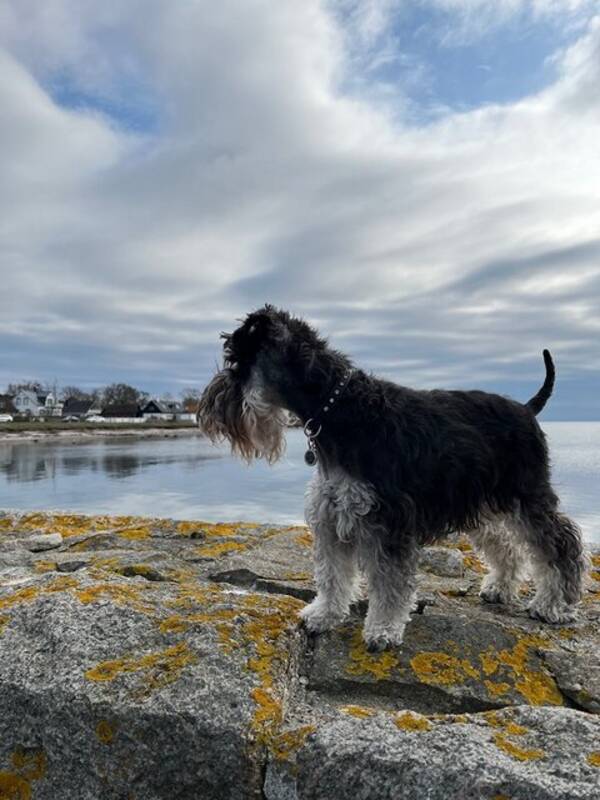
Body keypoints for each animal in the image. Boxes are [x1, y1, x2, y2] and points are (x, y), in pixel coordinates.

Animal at [197, 304, 584, 648]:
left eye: (236, 363)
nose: (205, 410)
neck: (338, 407)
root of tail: (527, 408)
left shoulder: (388, 521)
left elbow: (388, 583)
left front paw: (382, 629)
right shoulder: (332, 516)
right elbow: (332, 575)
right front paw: (323, 614)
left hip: (527, 496)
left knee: (560, 544)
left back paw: (554, 605)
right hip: (484, 502)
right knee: (505, 545)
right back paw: (500, 588)